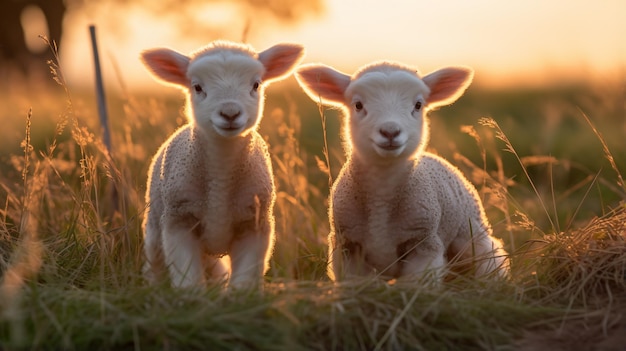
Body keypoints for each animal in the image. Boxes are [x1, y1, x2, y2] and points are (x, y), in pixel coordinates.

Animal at [138, 40, 302, 288]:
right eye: (197, 87)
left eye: (256, 84)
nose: (230, 113)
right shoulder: (178, 221)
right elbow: (188, 279)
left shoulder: (255, 224)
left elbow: (243, 282)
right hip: (155, 224)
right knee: (154, 262)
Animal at [294, 61, 508, 284]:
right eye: (358, 105)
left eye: (418, 105)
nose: (390, 131)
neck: (381, 197)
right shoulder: (347, 246)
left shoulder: (424, 244)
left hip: (473, 237)